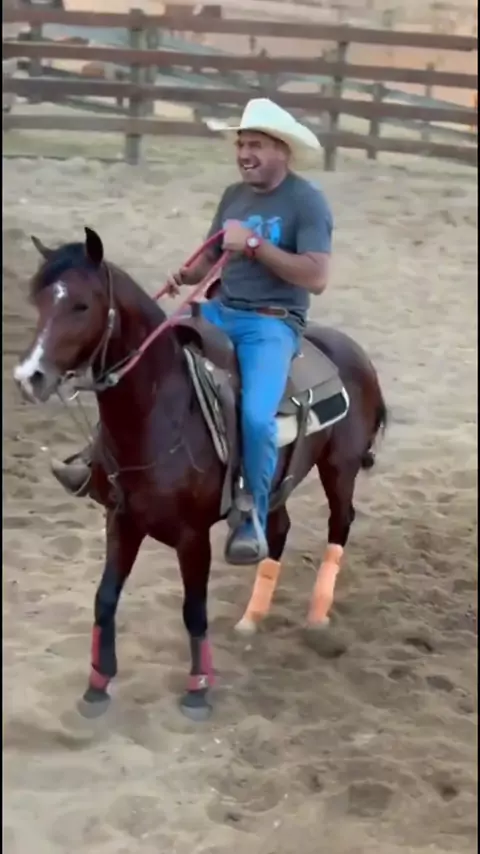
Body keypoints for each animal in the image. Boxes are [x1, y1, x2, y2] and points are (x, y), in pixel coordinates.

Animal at [13, 227, 388, 722]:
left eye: (81, 305)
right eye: (38, 299)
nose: (28, 377)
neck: (161, 410)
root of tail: (353, 353)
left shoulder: (192, 535)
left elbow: (194, 609)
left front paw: (198, 690)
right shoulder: (121, 520)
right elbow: (105, 598)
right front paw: (97, 685)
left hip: (339, 468)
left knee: (340, 524)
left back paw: (317, 616)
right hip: (277, 483)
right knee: (278, 528)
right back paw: (251, 618)